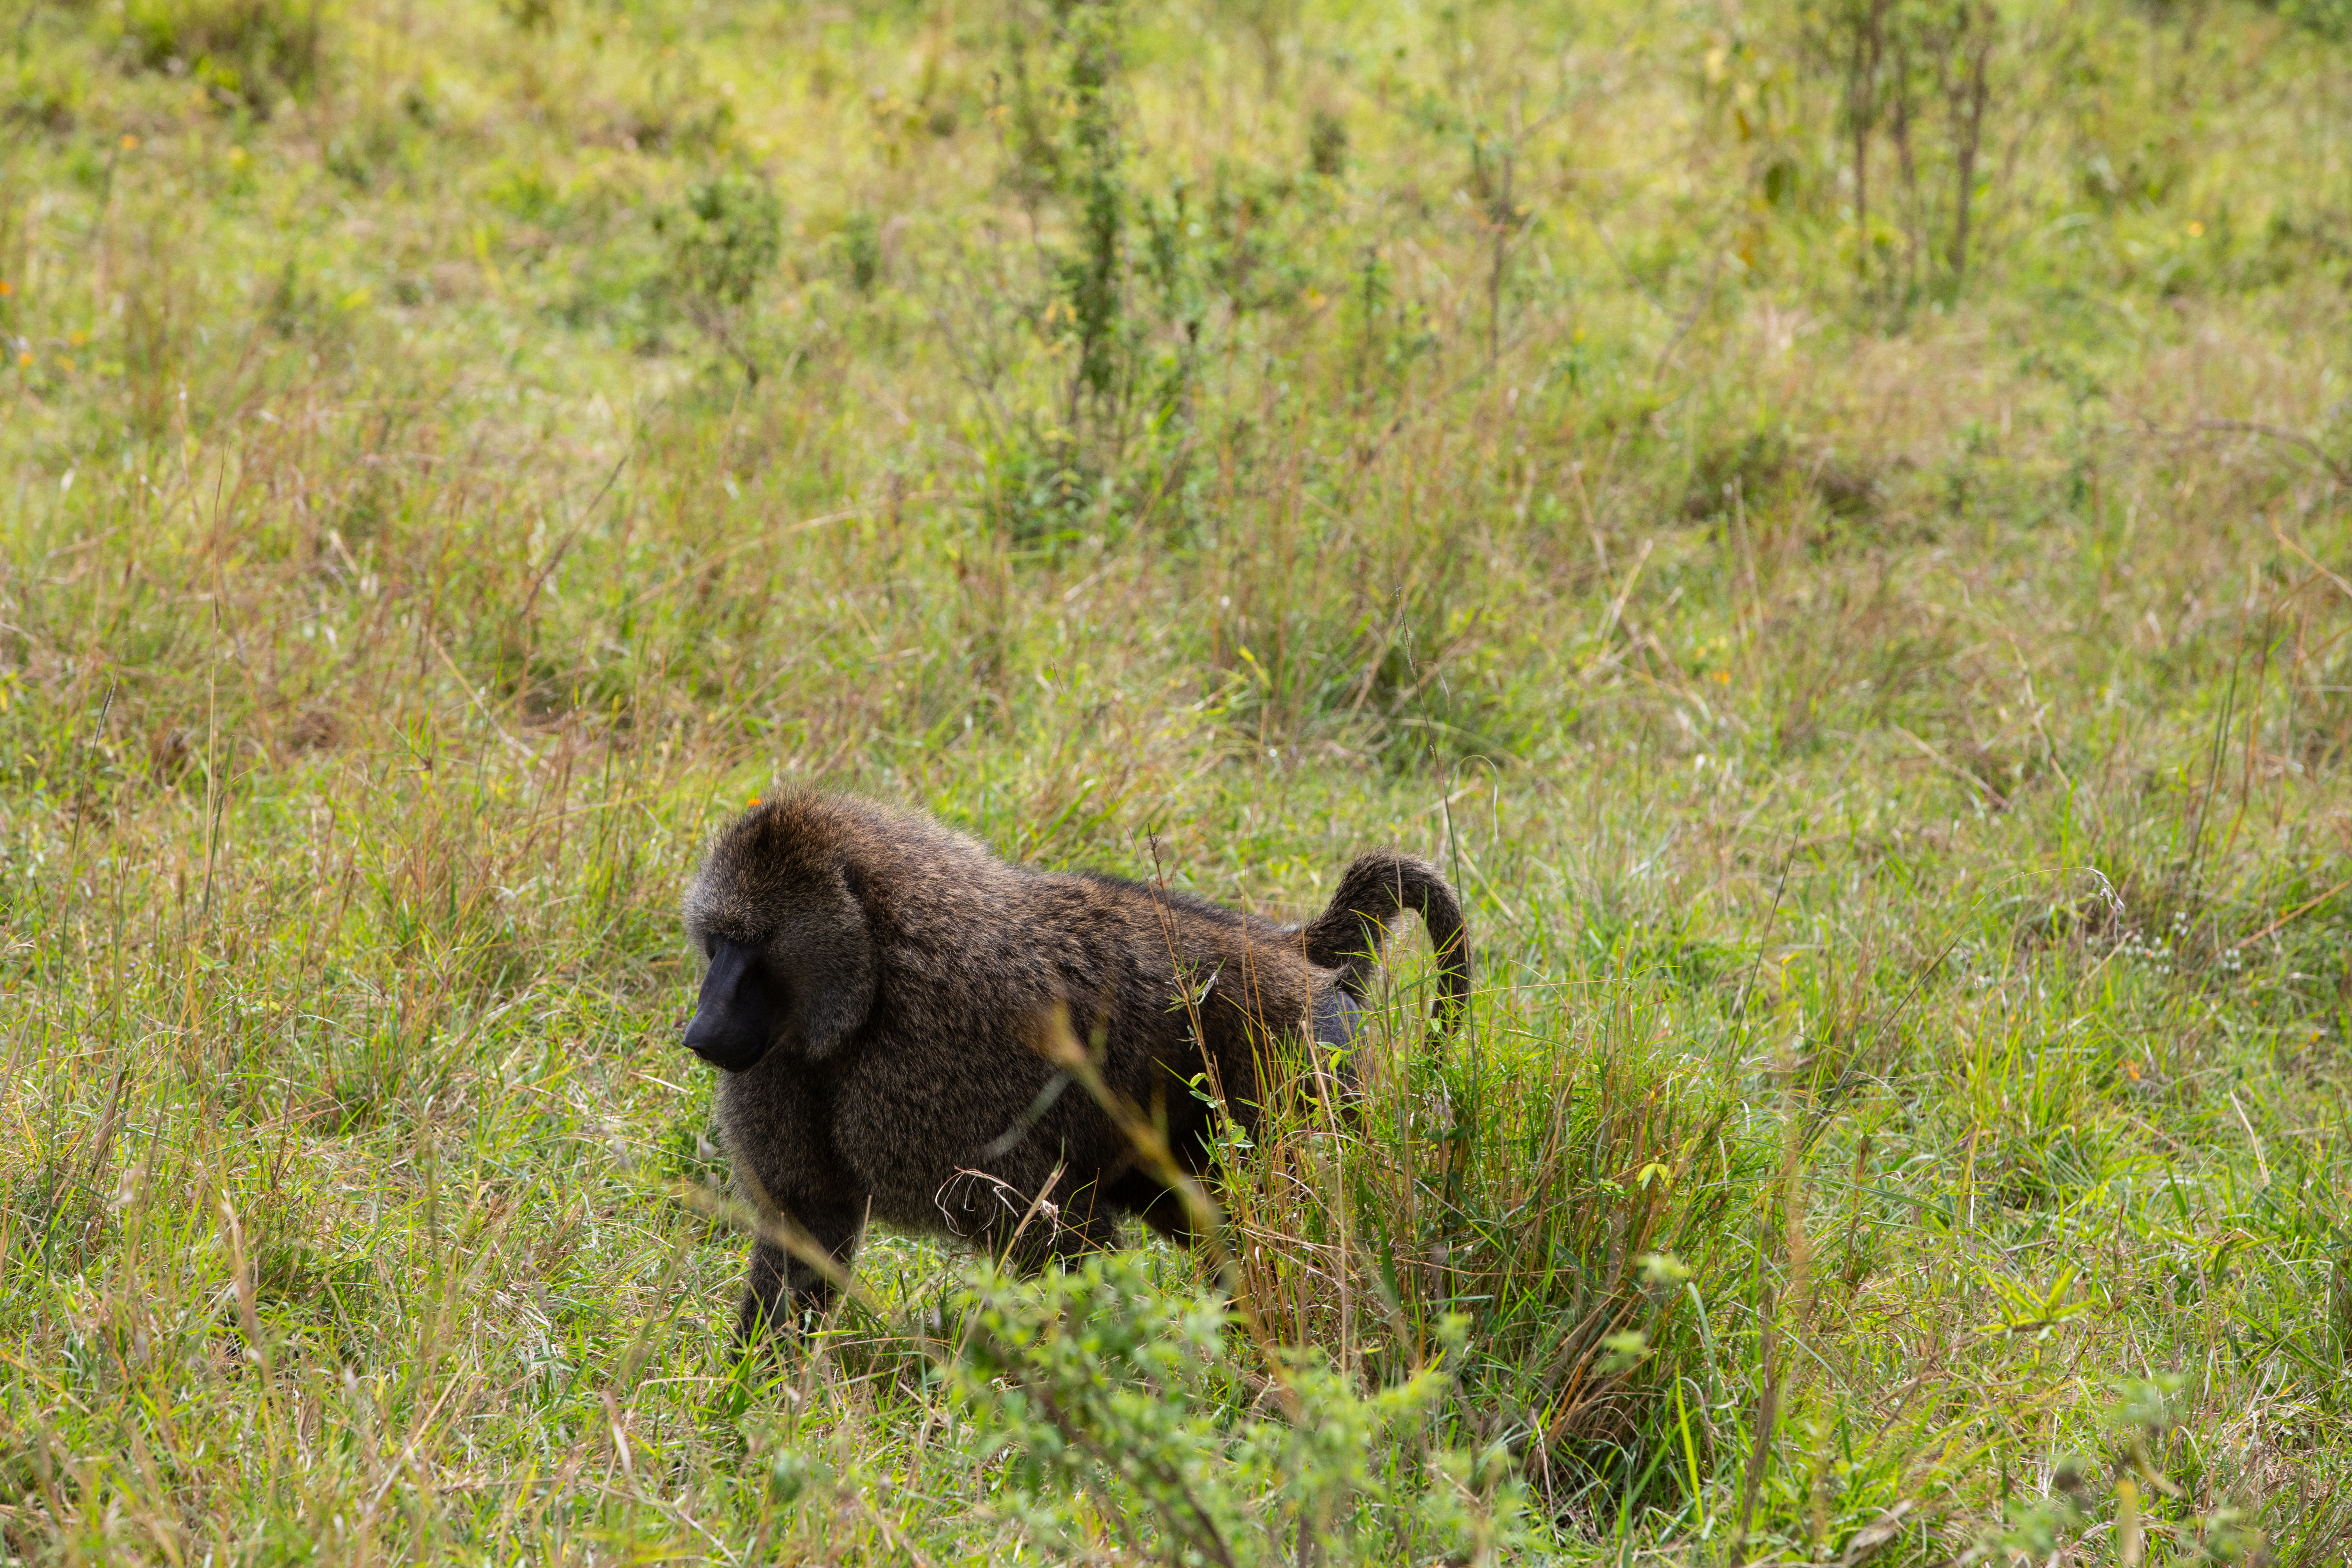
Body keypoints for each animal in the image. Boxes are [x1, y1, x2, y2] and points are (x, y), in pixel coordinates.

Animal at [679, 791, 1470, 1341]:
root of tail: (1295, 951)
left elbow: (1058, 1239)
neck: (871, 975)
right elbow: (809, 1223)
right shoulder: (782, 1062)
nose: (700, 1032)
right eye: (718, 942)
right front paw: (753, 1397)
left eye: (752, 949)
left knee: (1277, 1222)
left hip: (1292, 1060)